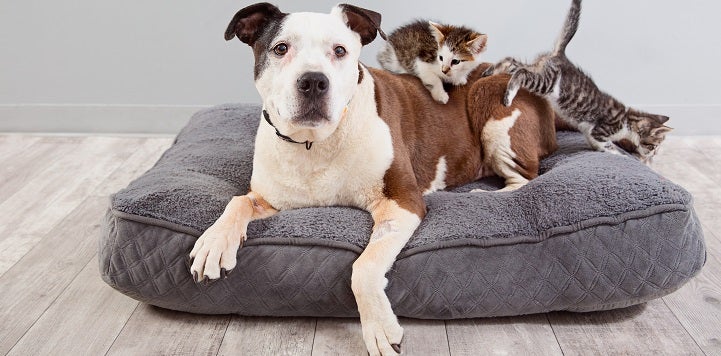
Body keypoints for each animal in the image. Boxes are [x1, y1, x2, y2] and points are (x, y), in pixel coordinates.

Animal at [187, 3, 556, 356]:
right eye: (281, 48)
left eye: (339, 50)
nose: (314, 81)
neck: (314, 142)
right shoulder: (269, 198)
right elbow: (238, 201)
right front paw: (213, 243)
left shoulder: (402, 201)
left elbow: (363, 267)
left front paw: (379, 328)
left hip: (491, 106)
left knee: (523, 179)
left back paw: (483, 195)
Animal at [480, 0, 672, 164]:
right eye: (653, 146)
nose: (652, 156)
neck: (627, 119)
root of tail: (560, 56)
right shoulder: (601, 130)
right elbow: (611, 147)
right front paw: (627, 158)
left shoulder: (591, 134)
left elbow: (597, 145)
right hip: (548, 83)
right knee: (521, 73)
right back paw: (508, 95)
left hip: (539, 69)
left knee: (511, 61)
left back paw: (489, 71)